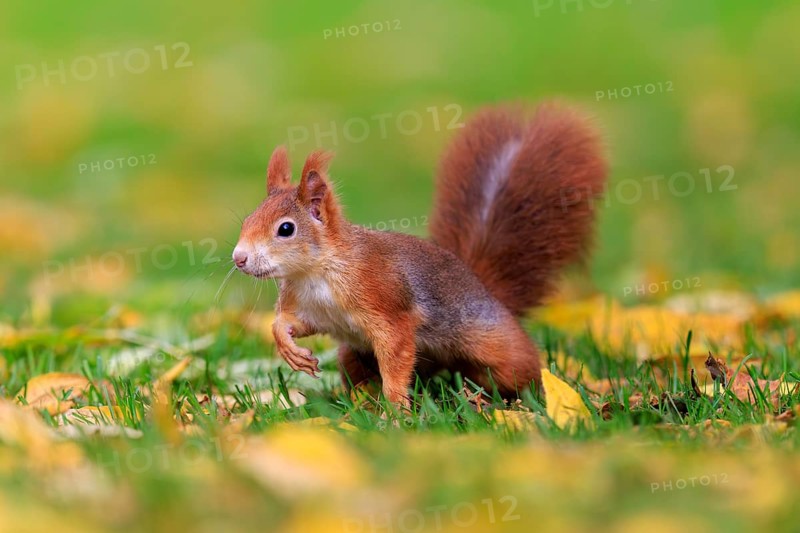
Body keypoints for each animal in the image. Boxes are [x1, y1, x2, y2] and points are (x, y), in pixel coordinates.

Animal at [232, 102, 607, 406]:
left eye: (286, 229)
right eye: (247, 220)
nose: (239, 258)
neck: (314, 273)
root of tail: (484, 288)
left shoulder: (386, 305)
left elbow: (396, 355)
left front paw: (397, 411)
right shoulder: (312, 310)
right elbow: (288, 323)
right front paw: (288, 348)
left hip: (496, 345)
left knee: (520, 369)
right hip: (354, 356)